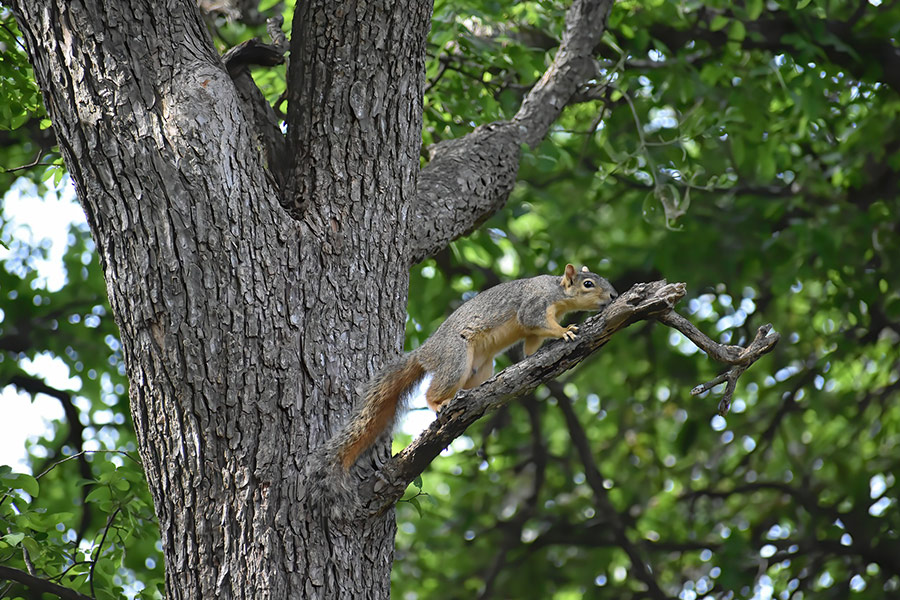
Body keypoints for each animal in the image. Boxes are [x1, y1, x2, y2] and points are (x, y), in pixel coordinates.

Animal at [323, 263, 618, 474]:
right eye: (588, 284)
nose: (614, 295)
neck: (558, 293)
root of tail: (425, 353)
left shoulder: (534, 328)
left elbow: (532, 342)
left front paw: (534, 354)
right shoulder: (535, 304)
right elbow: (533, 320)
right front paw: (564, 331)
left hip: (480, 370)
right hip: (455, 358)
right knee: (432, 391)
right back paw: (439, 404)